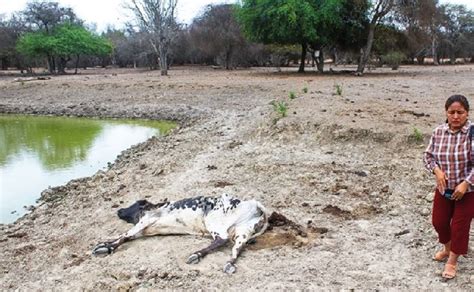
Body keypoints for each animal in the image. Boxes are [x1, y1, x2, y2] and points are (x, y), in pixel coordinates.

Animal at [92, 194, 268, 274]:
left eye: (135, 204)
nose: (119, 210)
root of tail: (253, 203)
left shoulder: (145, 221)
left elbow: (124, 235)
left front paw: (104, 247)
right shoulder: (142, 230)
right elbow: (126, 236)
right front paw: (105, 245)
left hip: (214, 221)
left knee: (221, 239)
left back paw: (196, 254)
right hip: (242, 232)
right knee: (236, 249)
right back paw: (227, 263)